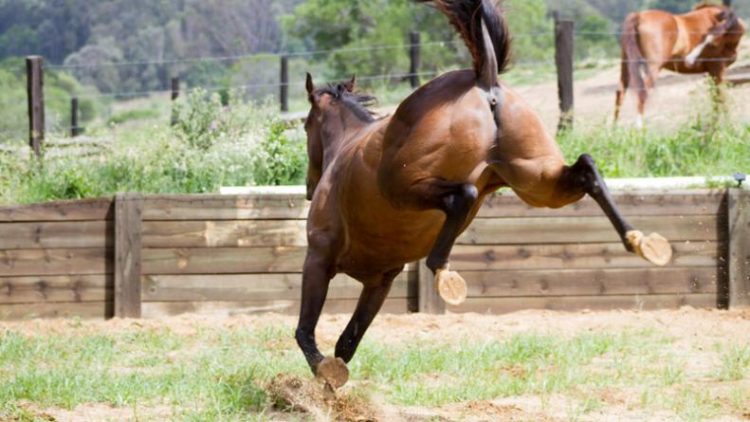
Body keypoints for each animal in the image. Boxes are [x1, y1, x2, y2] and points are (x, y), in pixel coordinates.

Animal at [298, 0, 673, 390]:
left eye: (305, 124)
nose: (310, 187)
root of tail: (484, 79)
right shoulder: (380, 279)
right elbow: (346, 343)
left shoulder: (320, 257)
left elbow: (306, 333)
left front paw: (324, 375)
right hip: (536, 182)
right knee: (586, 168)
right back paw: (641, 240)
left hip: (402, 187)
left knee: (462, 194)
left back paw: (443, 271)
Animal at [614, 2, 746, 127]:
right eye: (703, 37)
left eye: (712, 43)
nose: (689, 61)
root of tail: (639, 16)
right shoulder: (717, 68)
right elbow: (721, 97)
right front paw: (727, 127)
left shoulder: (711, 72)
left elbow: (715, 98)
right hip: (653, 68)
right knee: (642, 93)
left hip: (626, 65)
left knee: (620, 93)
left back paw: (614, 131)